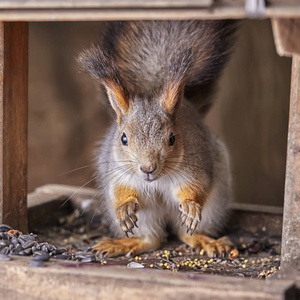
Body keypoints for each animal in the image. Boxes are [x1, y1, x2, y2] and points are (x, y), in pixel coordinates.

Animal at [79, 20, 237, 258]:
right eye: (123, 139)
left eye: (172, 138)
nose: (147, 169)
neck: (156, 181)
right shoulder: (117, 171)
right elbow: (120, 191)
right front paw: (124, 208)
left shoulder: (196, 166)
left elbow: (196, 188)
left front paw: (190, 205)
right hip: (146, 217)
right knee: (152, 239)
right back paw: (123, 244)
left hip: (213, 208)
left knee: (186, 234)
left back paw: (207, 241)